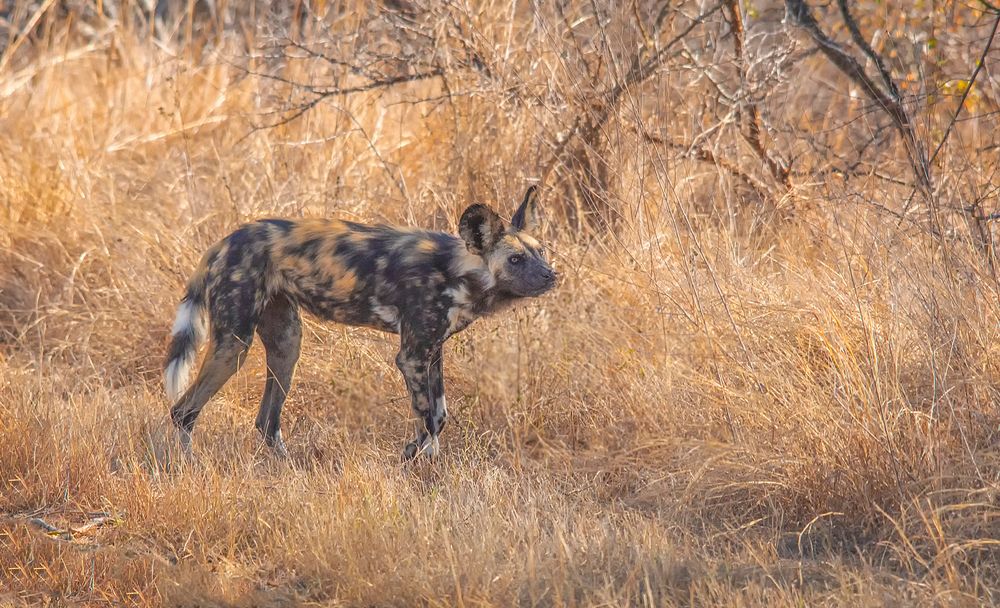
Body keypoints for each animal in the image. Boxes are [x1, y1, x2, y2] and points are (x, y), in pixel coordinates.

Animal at [164, 188, 556, 458]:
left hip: (287, 344)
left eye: (541, 252)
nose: (552, 276)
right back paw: (190, 466)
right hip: (233, 346)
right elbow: (429, 419)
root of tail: (222, 243)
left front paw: (422, 458)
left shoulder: (431, 352)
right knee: (183, 411)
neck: (457, 271)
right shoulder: (412, 357)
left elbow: (440, 416)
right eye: (516, 259)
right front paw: (416, 464)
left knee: (266, 423)